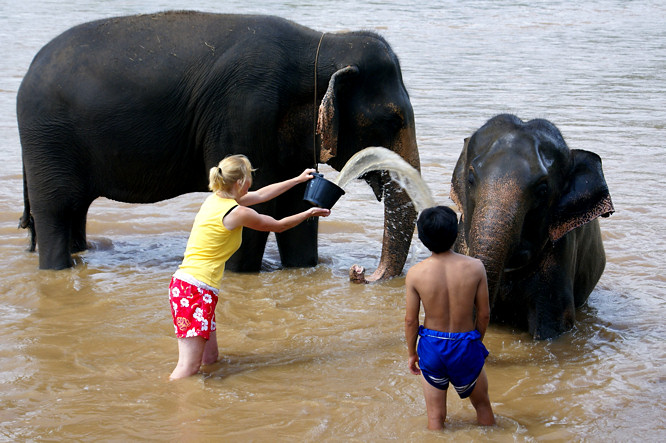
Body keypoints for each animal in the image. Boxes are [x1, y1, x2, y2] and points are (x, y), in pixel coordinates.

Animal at [16, 13, 416, 280]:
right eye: (393, 121)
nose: (360, 273)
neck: (322, 44)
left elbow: (295, 206)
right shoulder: (245, 110)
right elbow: (257, 205)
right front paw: (243, 273)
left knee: (75, 211)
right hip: (46, 140)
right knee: (55, 211)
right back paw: (56, 268)